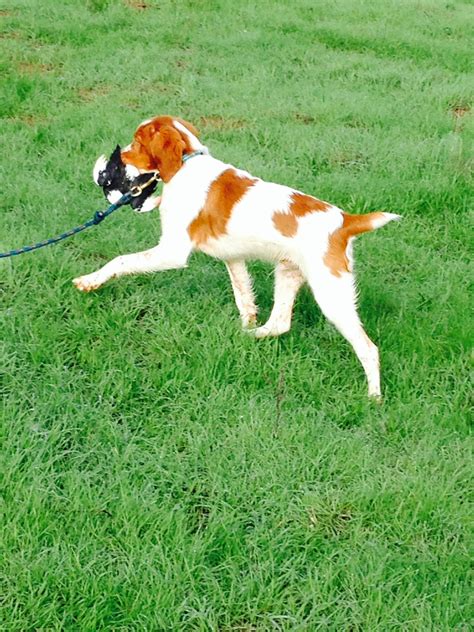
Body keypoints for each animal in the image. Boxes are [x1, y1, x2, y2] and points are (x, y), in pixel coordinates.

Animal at [76, 116, 402, 398]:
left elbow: (120, 260)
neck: (187, 164)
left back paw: (373, 397)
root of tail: (346, 221)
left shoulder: (172, 251)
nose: (117, 158)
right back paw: (246, 337)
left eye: (137, 142)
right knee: (279, 323)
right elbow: (243, 296)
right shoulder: (233, 257)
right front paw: (245, 323)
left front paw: (89, 281)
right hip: (288, 273)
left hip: (331, 293)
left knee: (368, 348)